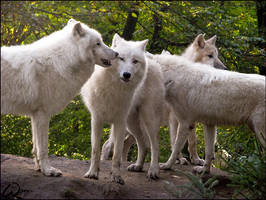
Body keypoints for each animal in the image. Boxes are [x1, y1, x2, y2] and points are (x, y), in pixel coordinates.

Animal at [0, 18, 117, 177]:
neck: (60, 60)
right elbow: (43, 149)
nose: (117, 53)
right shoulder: (43, 114)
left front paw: (40, 169)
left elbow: (36, 148)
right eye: (98, 43)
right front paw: (48, 171)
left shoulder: (35, 115)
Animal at [81, 33, 150, 184]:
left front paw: (117, 176)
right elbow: (95, 151)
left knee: (150, 145)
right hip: (132, 126)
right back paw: (139, 166)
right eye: (121, 58)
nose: (127, 74)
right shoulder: (97, 119)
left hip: (143, 122)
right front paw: (93, 173)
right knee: (142, 144)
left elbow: (117, 155)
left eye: (135, 61)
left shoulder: (120, 122)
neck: (114, 89)